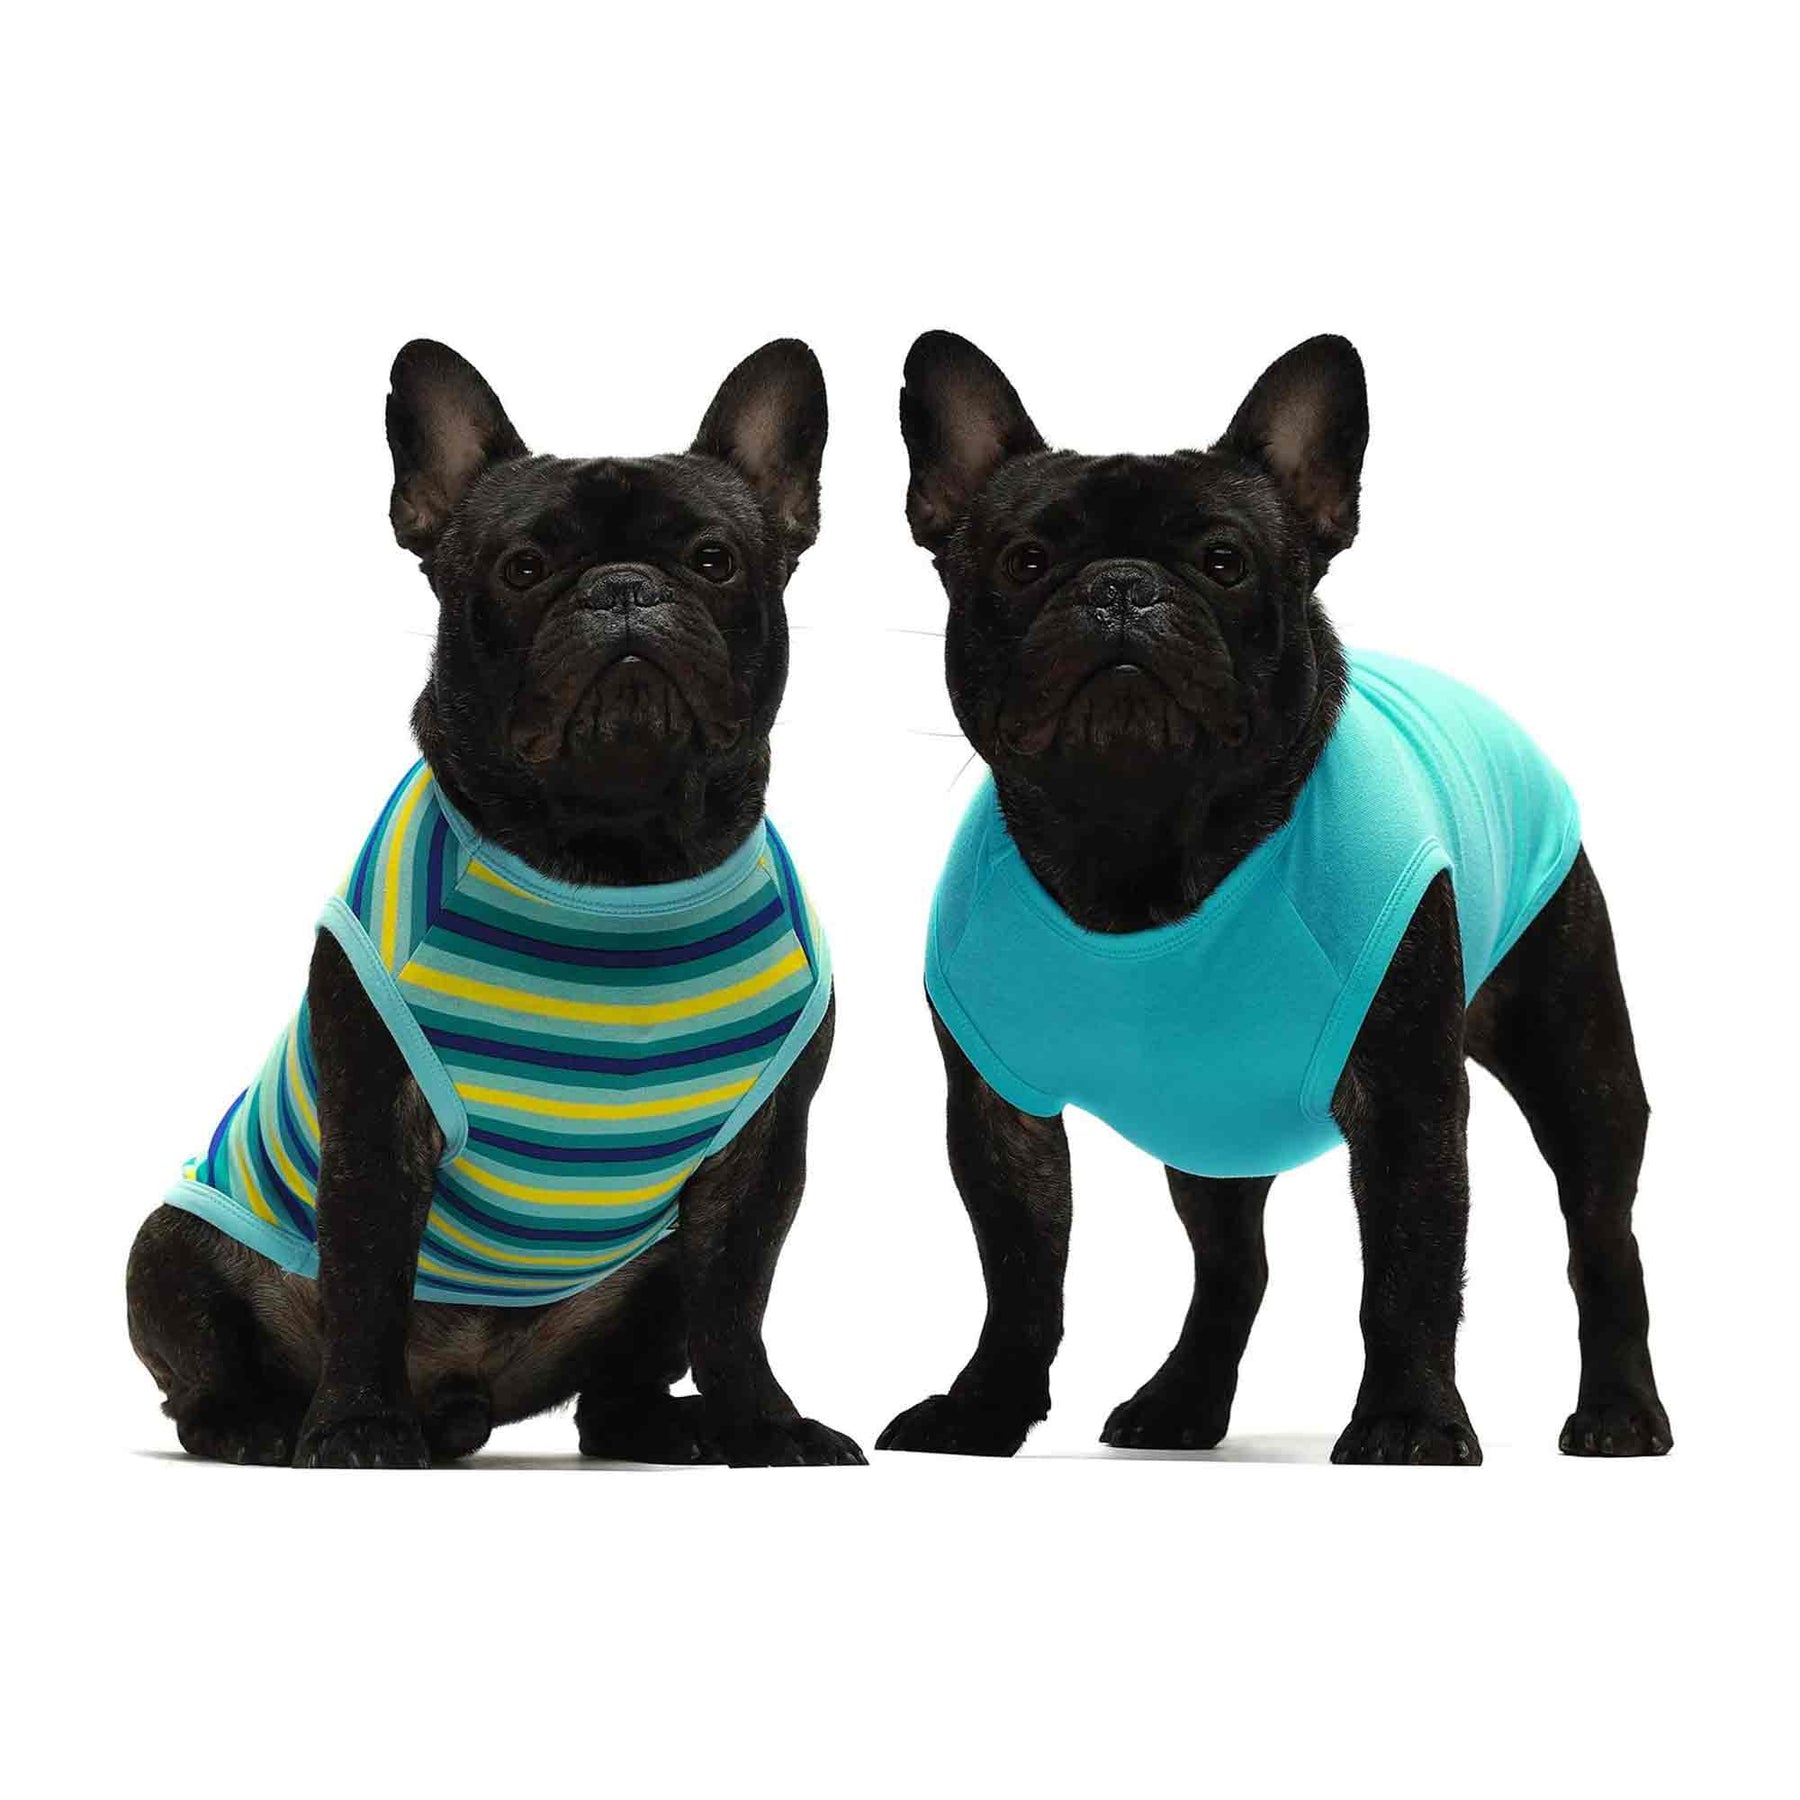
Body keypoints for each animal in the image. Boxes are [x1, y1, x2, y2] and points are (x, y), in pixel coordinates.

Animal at [127, 337, 864, 1469]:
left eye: (713, 560)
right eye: (522, 569)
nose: (622, 589)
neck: (612, 859)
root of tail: (463, 1394)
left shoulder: (760, 1158)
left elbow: (737, 1306)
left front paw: (767, 1426)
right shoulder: (377, 1119)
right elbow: (366, 1275)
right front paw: (357, 1425)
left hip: (649, 1272)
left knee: (621, 1390)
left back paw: (674, 1428)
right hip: (171, 1241)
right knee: (203, 1372)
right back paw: (258, 1421)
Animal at [879, 330, 1670, 1463]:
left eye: (1224, 561)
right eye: (1025, 563)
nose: (1122, 589)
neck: (1140, 840)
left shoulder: (1411, 1100)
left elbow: (1410, 1269)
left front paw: (1408, 1418)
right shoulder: (999, 1113)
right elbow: (1021, 1274)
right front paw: (984, 1407)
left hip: (1580, 1067)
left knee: (1603, 1239)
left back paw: (1619, 1413)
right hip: (1205, 1130)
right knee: (1231, 1267)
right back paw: (1181, 1402)